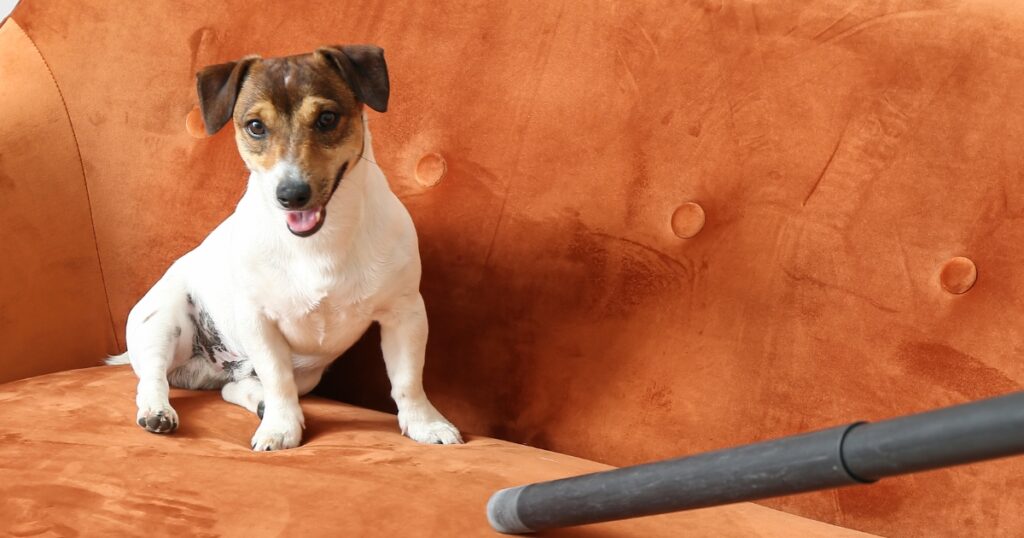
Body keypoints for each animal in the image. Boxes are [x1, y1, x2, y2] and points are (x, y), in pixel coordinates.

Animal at [109, 45, 464, 448]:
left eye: (327, 118)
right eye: (255, 126)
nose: (291, 194)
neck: (319, 242)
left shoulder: (405, 314)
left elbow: (408, 380)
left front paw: (426, 424)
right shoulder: (259, 322)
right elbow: (278, 380)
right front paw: (280, 427)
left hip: (306, 373)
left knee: (232, 388)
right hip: (163, 325)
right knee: (152, 379)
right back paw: (158, 411)